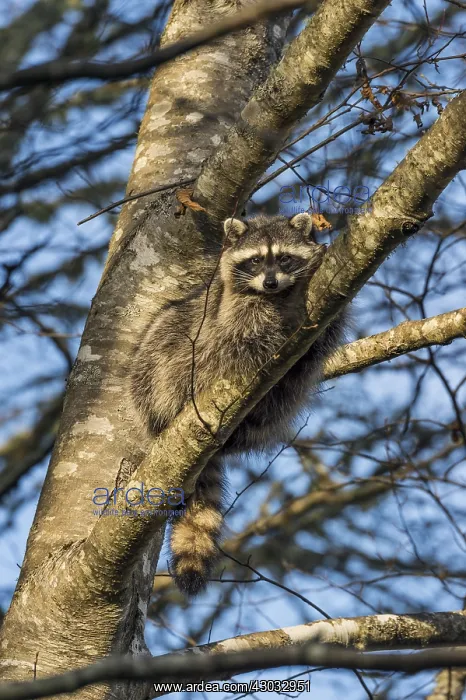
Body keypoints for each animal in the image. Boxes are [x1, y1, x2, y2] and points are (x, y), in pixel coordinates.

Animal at [131, 213, 346, 595]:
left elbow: (319, 343)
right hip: (158, 371)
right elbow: (243, 333)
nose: (272, 283)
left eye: (285, 258)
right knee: (172, 343)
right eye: (256, 260)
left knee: (288, 388)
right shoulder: (225, 310)